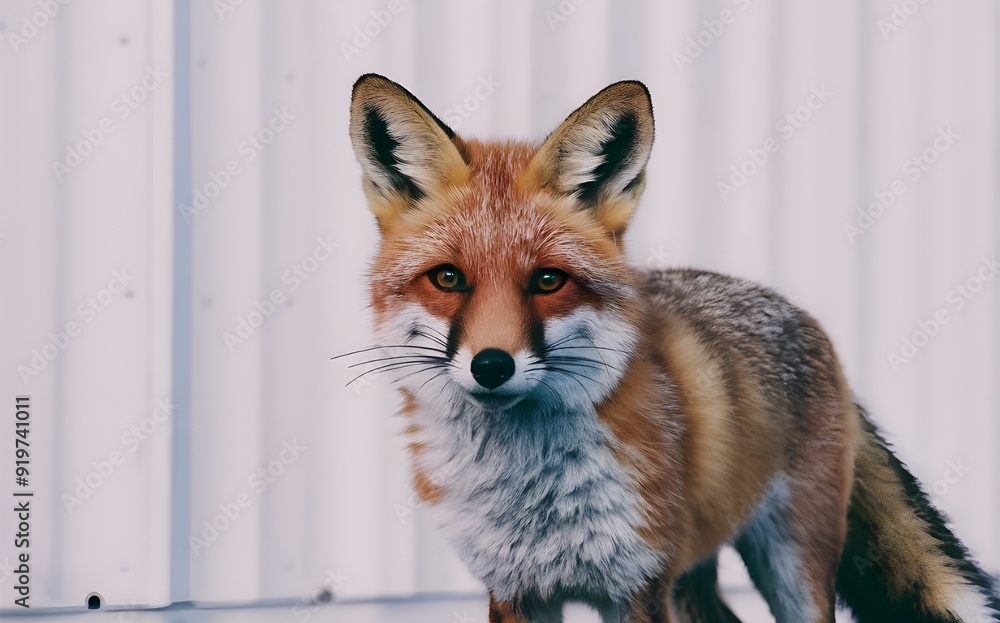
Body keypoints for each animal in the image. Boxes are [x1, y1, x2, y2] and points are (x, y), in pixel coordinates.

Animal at [344, 73, 1000, 623]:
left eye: (549, 280)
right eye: (448, 279)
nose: (491, 366)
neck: (531, 495)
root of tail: (796, 311)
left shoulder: (639, 586)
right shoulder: (516, 590)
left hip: (790, 568)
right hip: (693, 579)